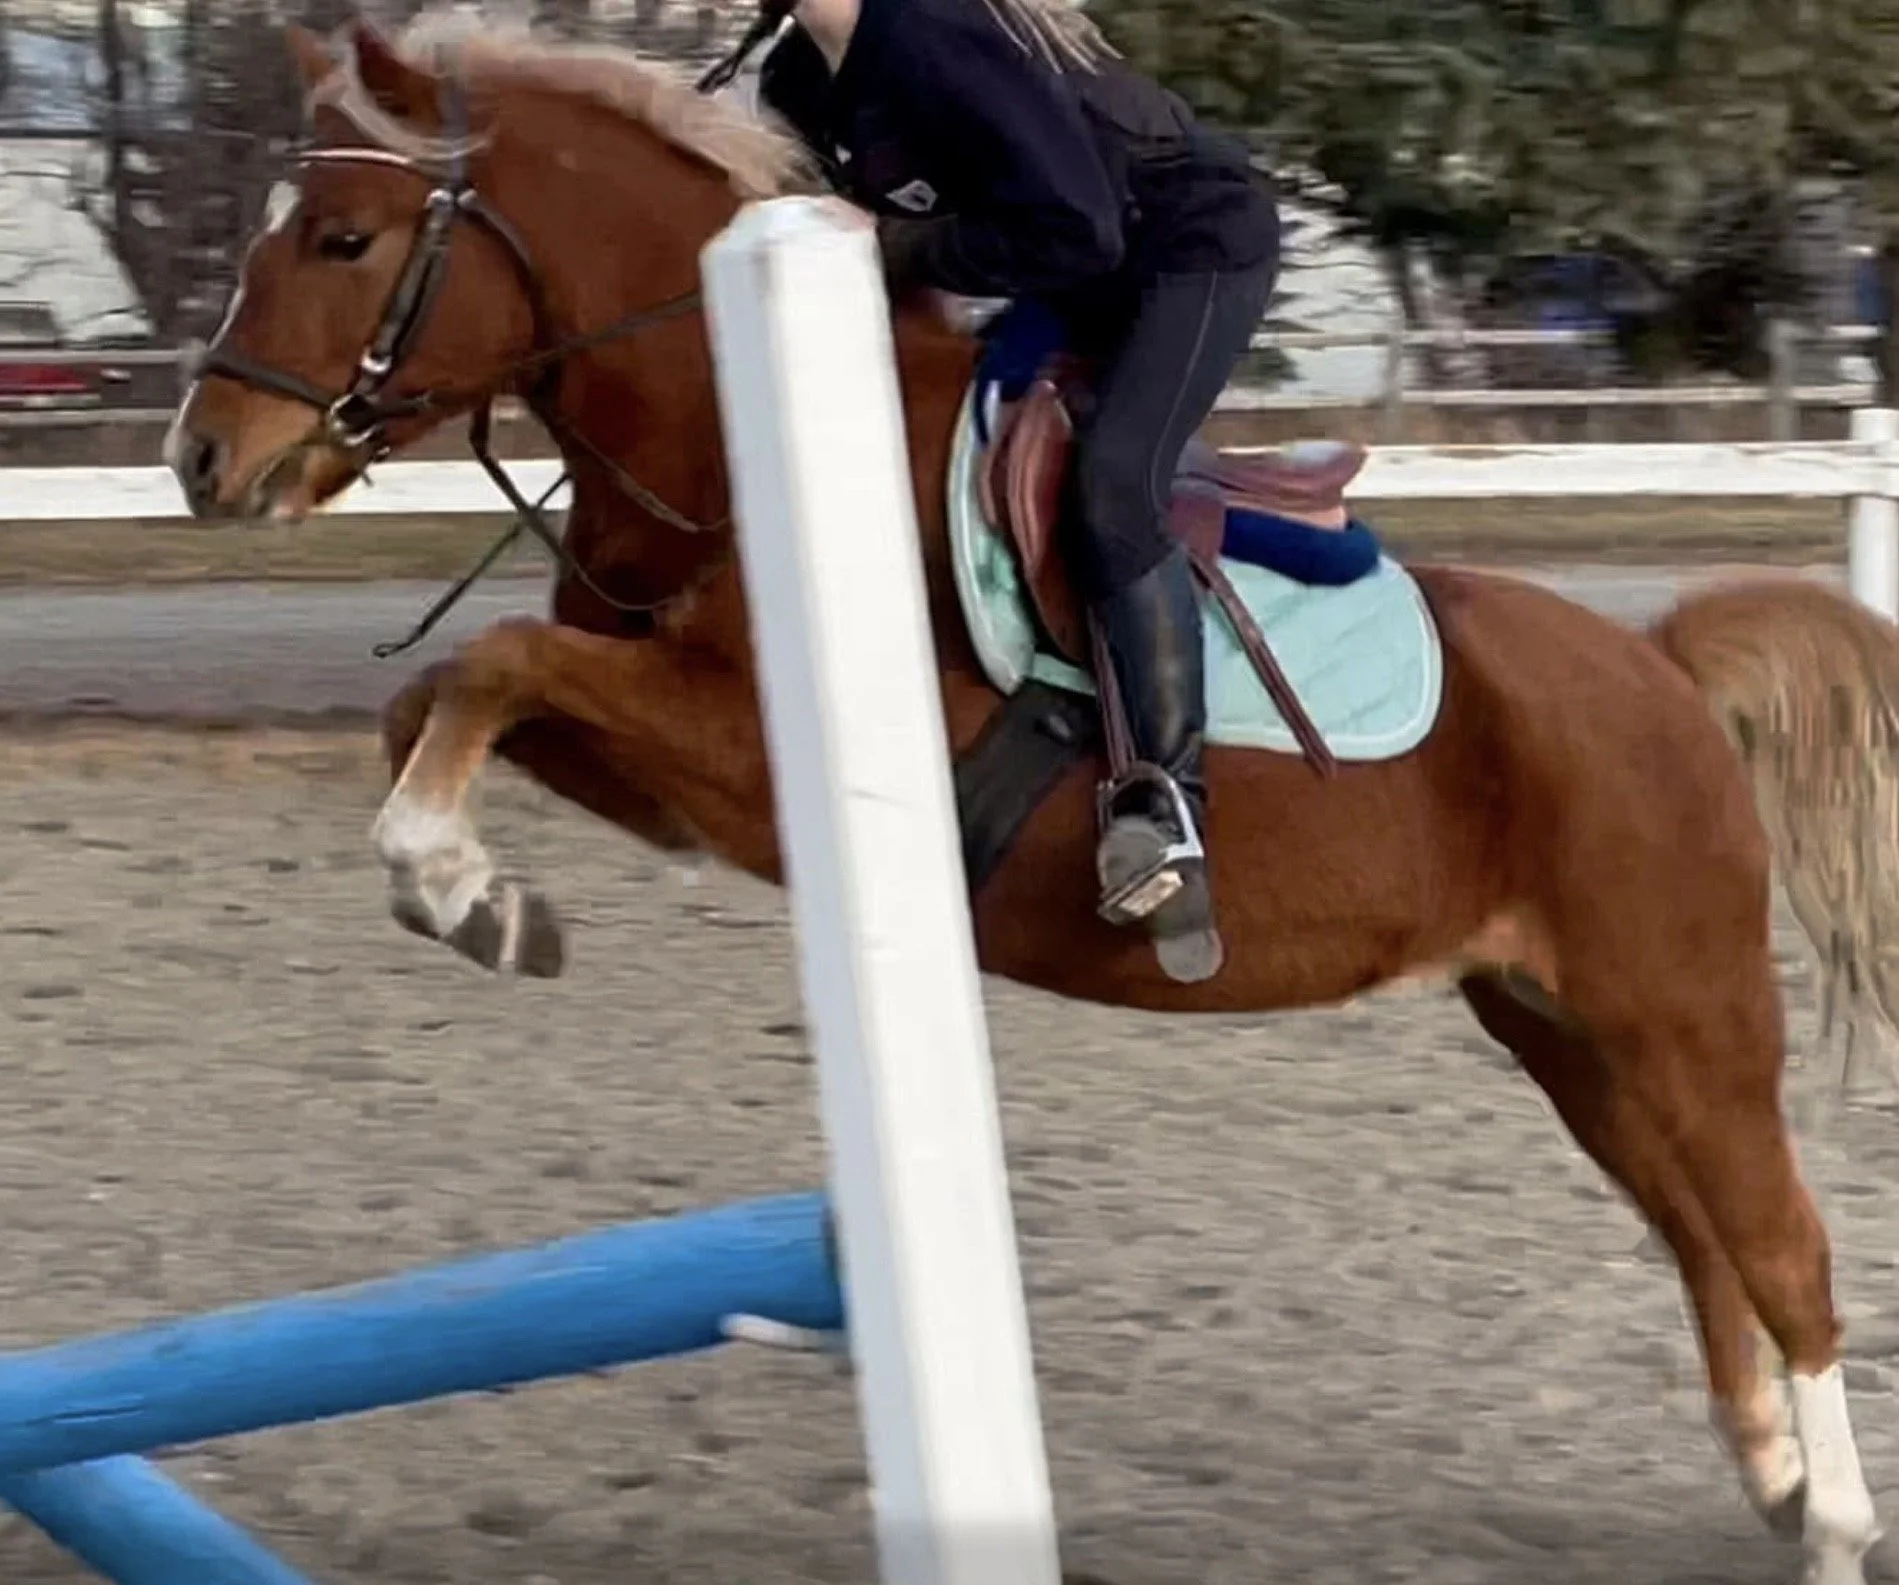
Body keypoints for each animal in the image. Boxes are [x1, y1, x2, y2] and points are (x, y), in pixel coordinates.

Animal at [164, 13, 1899, 1581]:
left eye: (342, 236)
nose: (202, 458)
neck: (715, 431)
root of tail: (1654, 664)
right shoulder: (665, 760)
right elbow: (447, 690)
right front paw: (487, 902)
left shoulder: (743, 756)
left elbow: (500, 658)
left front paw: (449, 879)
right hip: (1558, 1027)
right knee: (1692, 1230)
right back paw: (1768, 1474)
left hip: (1679, 1014)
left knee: (1780, 1246)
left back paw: (1828, 1521)